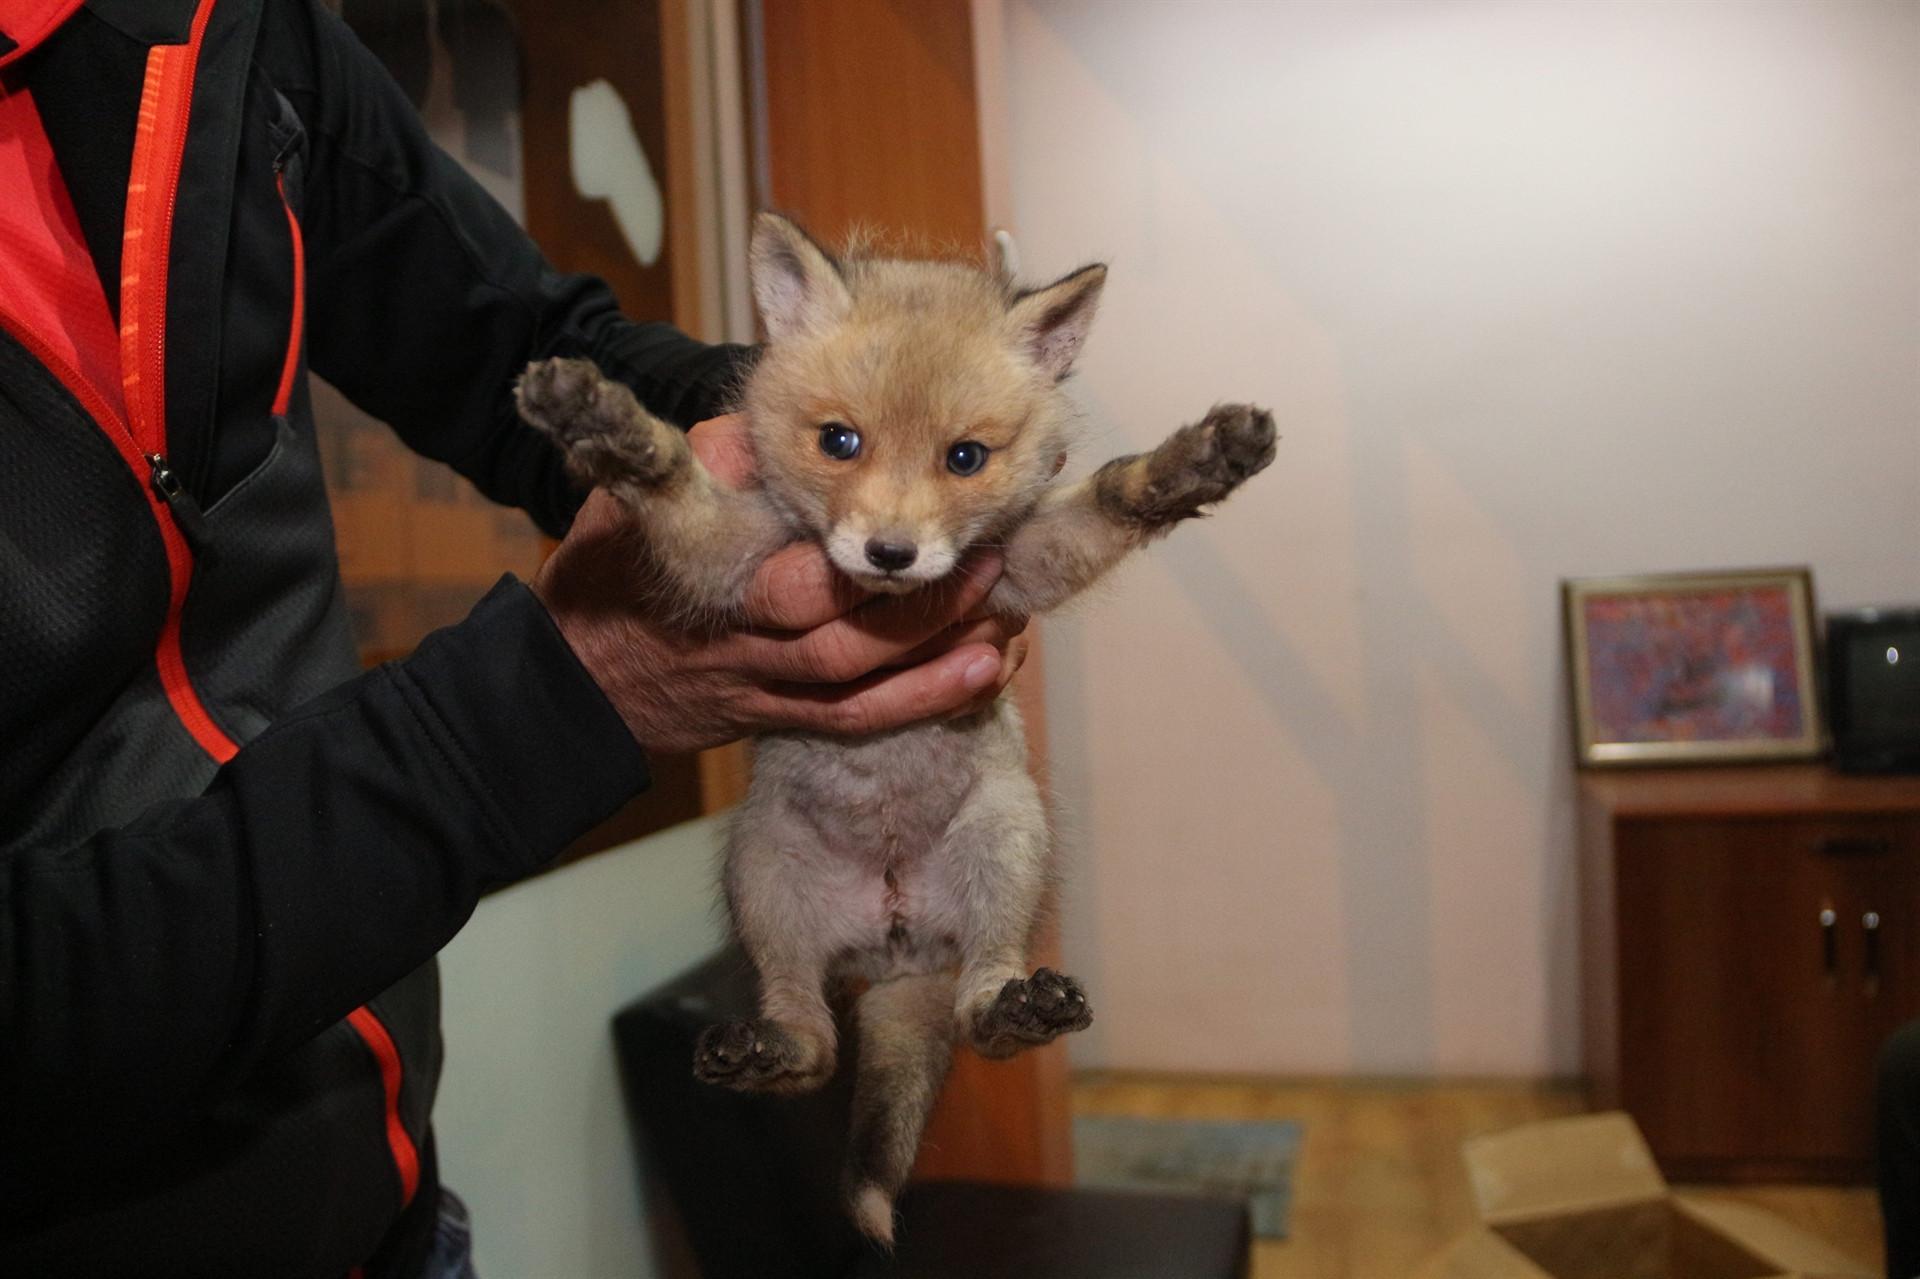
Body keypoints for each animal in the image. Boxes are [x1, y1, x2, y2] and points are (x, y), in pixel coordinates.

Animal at [514, 213, 1275, 1245]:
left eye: (966, 458)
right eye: (839, 440)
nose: (891, 553)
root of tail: (895, 950)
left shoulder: (1015, 569)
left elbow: (1113, 496)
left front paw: (1197, 460)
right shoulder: (732, 563)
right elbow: (675, 489)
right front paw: (609, 428)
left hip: (1005, 844)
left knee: (974, 1013)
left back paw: (1016, 1007)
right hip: (763, 871)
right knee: (817, 1045)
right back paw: (769, 1049)